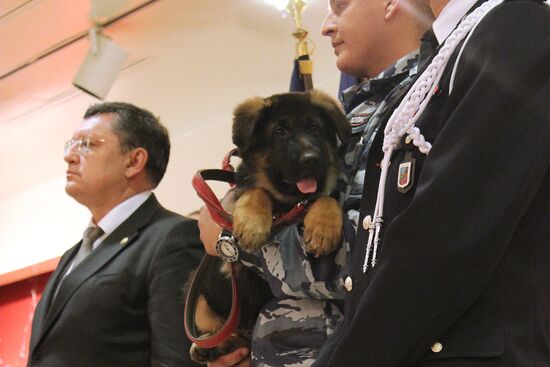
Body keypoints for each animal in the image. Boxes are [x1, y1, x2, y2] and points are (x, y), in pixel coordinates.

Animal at [190, 90, 352, 364]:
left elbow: (325, 198)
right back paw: (210, 346)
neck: (287, 206)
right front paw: (252, 223)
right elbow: (258, 191)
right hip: (200, 295)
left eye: (315, 128)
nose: (311, 160)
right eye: (279, 132)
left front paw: (322, 229)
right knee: (226, 331)